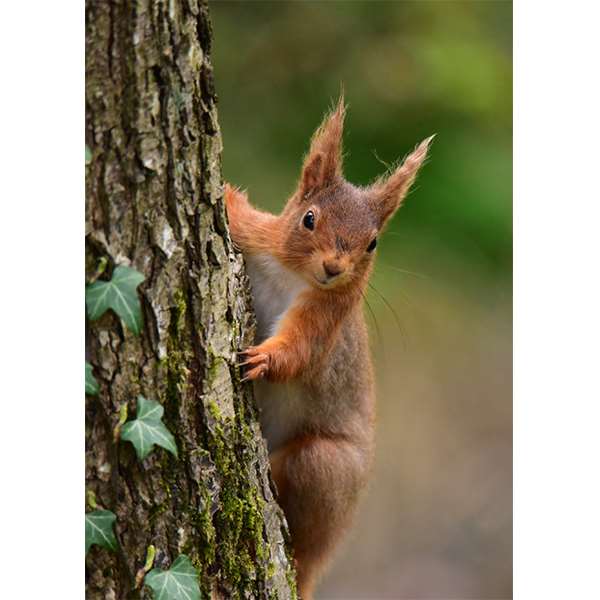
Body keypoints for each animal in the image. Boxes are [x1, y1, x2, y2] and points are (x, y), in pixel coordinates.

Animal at [225, 96, 432, 596]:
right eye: (309, 218)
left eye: (372, 243)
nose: (335, 268)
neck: (294, 275)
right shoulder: (259, 236)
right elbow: (241, 215)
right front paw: (222, 195)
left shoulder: (326, 319)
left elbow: (299, 352)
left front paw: (263, 359)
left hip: (323, 468)